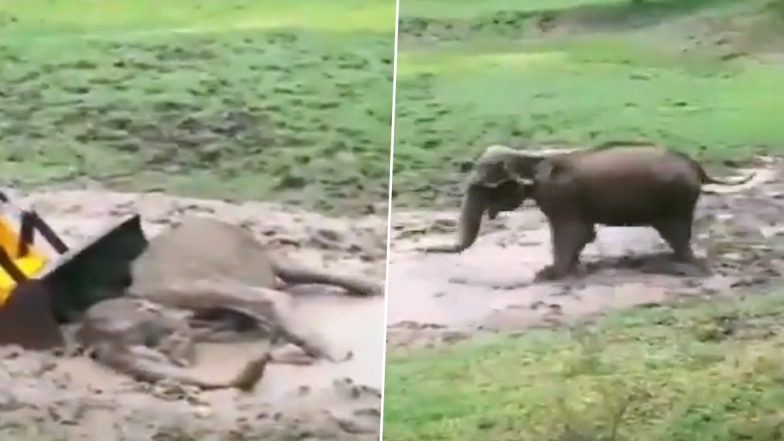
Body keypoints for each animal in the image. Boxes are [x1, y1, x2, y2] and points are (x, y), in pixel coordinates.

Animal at [426, 141, 756, 280]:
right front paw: (571, 269)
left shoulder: (560, 199)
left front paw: (547, 274)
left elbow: (574, 233)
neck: (529, 157)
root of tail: (698, 167)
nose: (426, 249)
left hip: (676, 200)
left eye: (481, 188)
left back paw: (683, 267)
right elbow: (581, 235)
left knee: (677, 233)